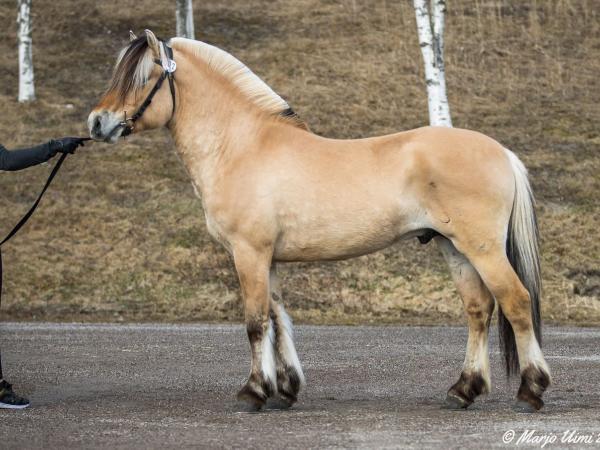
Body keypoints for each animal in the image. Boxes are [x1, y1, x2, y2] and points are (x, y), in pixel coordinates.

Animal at [87, 29, 550, 413]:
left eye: (142, 77)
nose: (96, 122)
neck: (242, 147)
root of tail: (501, 152)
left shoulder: (248, 253)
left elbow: (255, 323)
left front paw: (253, 392)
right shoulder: (267, 258)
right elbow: (277, 318)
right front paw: (285, 389)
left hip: (483, 249)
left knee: (516, 302)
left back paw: (531, 389)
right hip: (452, 247)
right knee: (478, 309)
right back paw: (463, 390)